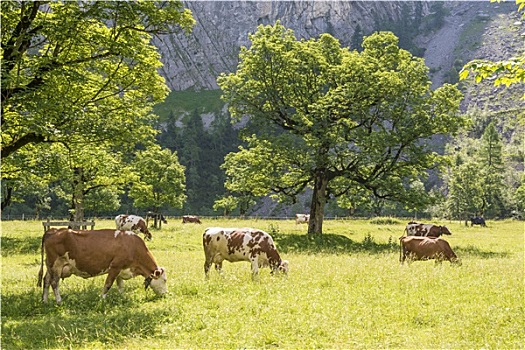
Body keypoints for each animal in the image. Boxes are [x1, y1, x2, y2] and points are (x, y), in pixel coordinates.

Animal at [37, 227, 168, 304]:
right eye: (164, 280)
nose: (165, 294)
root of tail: (53, 230)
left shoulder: (121, 269)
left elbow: (120, 285)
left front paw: (122, 297)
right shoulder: (115, 267)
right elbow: (108, 284)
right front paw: (102, 299)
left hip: (50, 266)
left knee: (46, 280)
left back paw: (45, 301)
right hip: (56, 264)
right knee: (54, 282)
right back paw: (59, 301)